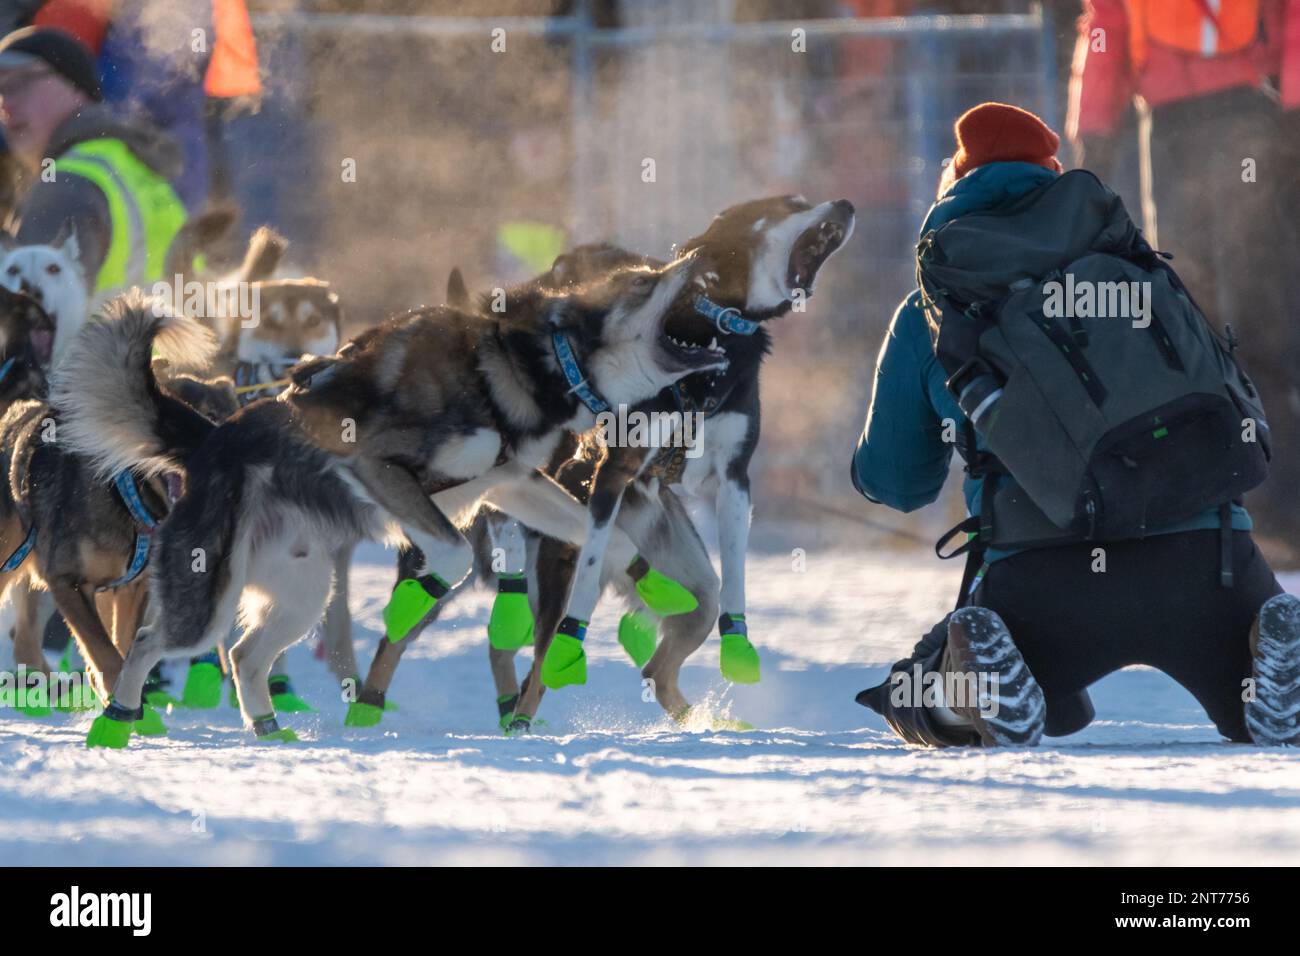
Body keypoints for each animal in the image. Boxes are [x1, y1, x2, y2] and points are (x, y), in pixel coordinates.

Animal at [61, 256, 728, 749]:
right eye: (644, 281)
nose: (696, 259)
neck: (535, 364)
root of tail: (208, 438)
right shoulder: (378, 468)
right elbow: (452, 555)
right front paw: (417, 595)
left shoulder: (512, 482)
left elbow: (610, 539)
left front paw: (654, 583)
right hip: (209, 599)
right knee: (147, 645)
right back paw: (114, 727)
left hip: (305, 593)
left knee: (247, 655)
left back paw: (271, 732)